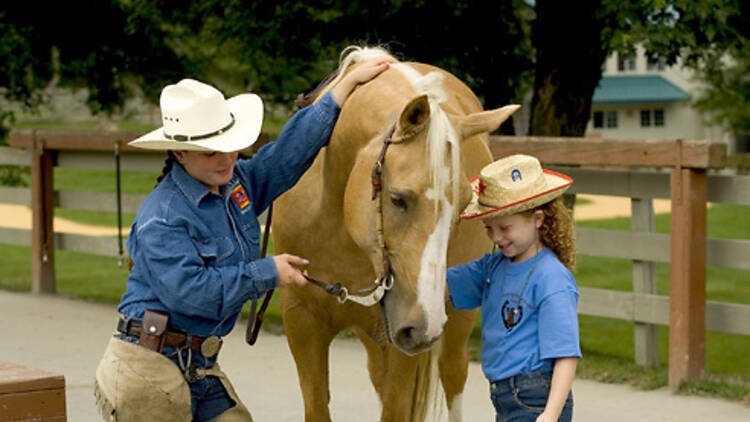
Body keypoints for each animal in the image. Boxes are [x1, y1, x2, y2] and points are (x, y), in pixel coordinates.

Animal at [274, 47, 520, 422]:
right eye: (397, 198)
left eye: (464, 205)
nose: (425, 327)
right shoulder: (301, 321)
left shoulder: (403, 339)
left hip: (453, 323)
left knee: (454, 374)